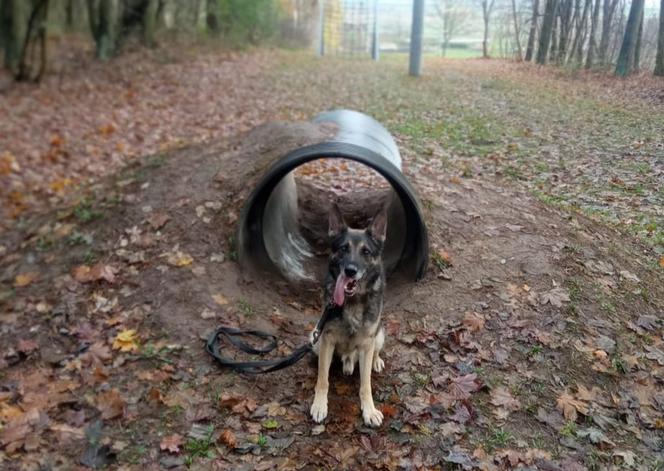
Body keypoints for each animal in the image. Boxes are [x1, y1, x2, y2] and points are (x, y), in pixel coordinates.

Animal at [308, 203, 386, 428]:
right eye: (343, 248)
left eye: (366, 252)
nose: (350, 270)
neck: (352, 301)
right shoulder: (326, 340)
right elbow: (323, 379)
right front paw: (319, 405)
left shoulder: (368, 343)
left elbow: (366, 384)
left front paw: (369, 410)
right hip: (315, 340)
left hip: (379, 336)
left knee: (374, 353)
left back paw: (376, 361)